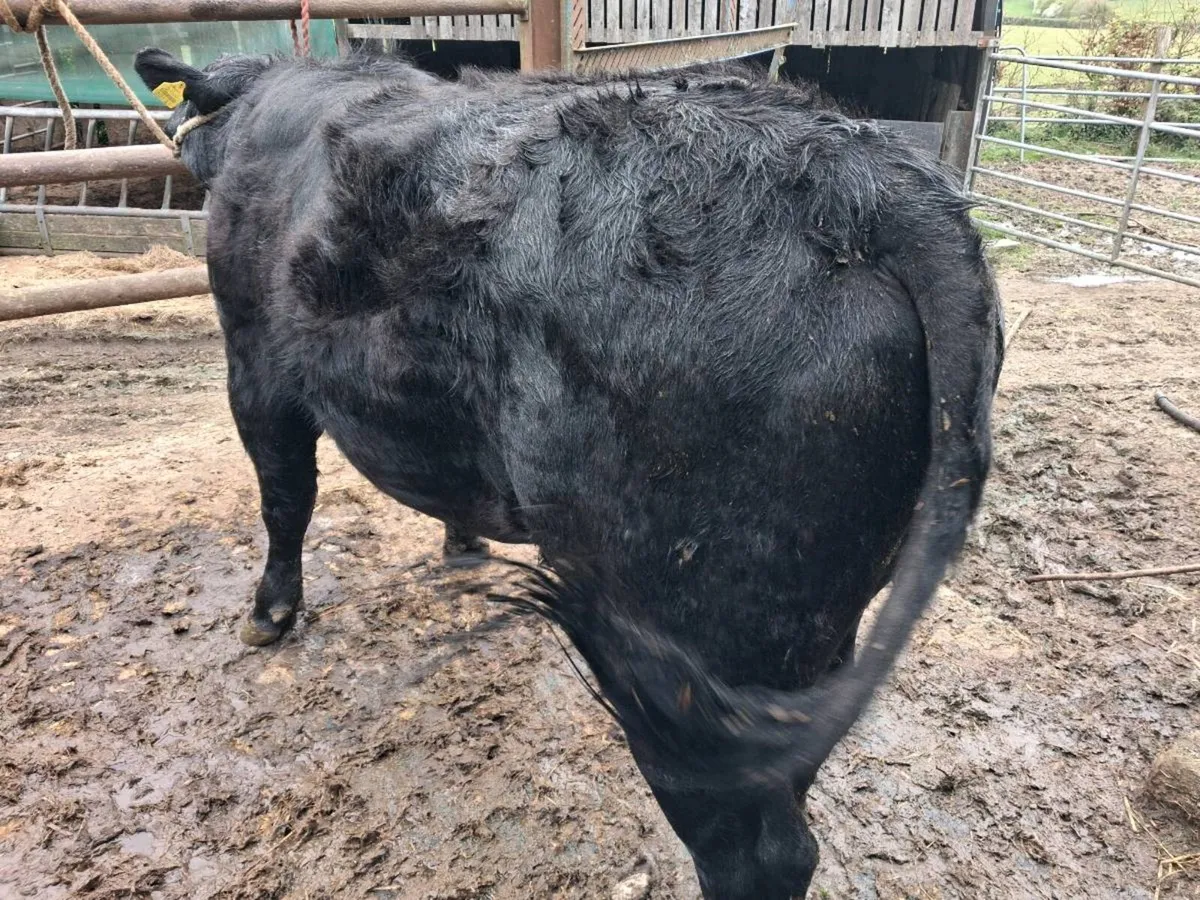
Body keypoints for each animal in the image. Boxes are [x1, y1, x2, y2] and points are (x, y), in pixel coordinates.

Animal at [134, 48, 1003, 900]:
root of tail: (865, 175)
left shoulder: (253, 357)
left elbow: (286, 496)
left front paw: (270, 613)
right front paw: (462, 545)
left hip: (684, 631)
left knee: (762, 855)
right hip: (810, 633)